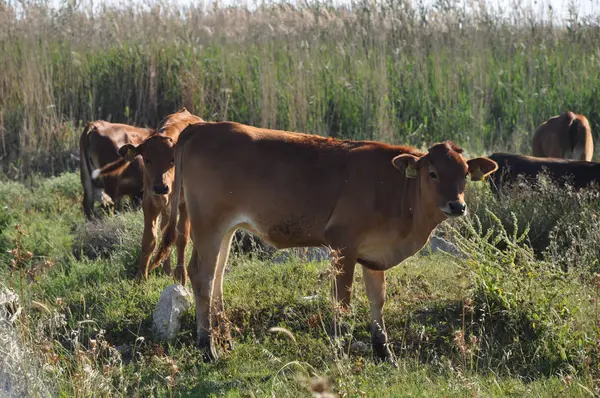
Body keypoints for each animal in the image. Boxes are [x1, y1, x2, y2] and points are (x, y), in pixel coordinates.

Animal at [94, 108, 204, 282]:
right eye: (147, 160)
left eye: (172, 159)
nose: (160, 187)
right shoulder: (149, 202)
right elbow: (149, 239)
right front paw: (141, 276)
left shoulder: (184, 204)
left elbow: (182, 238)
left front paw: (181, 275)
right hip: (165, 208)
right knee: (165, 229)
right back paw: (166, 270)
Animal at [149, 123, 496, 366]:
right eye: (433, 173)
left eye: (465, 173)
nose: (457, 205)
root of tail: (202, 127)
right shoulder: (343, 243)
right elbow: (343, 301)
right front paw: (341, 349)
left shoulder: (374, 255)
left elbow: (378, 301)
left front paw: (385, 353)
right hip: (208, 223)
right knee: (201, 275)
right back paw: (208, 346)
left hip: (226, 229)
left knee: (217, 276)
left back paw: (225, 339)